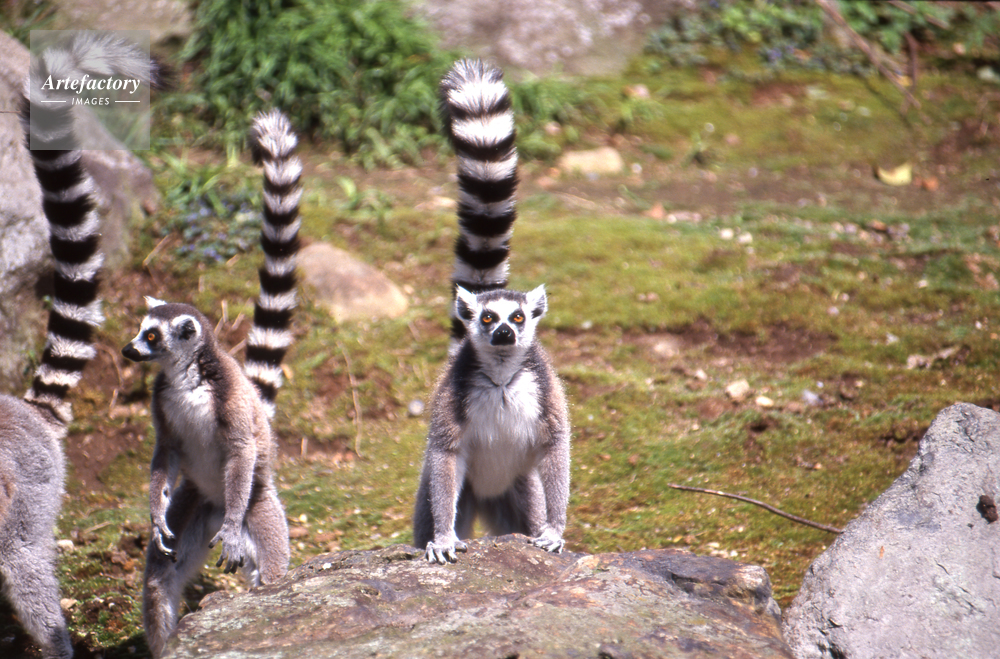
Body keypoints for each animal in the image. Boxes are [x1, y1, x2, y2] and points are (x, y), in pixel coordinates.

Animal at [120, 110, 301, 658]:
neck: (185, 379)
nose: (128, 350)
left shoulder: (232, 403)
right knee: (160, 580)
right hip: (195, 503)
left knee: (268, 552)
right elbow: (164, 453)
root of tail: (216, 506)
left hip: (255, 500)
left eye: (151, 335)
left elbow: (240, 449)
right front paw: (153, 515)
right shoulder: (161, 405)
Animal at [412, 59, 571, 564]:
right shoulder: (453, 399)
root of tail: (486, 500)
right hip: (452, 494)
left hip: (517, 491)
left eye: (516, 318)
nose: (504, 333)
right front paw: (443, 539)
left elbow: (555, 445)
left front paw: (555, 530)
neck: (501, 377)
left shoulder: (543, 389)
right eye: (488, 318)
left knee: (529, 502)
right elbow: (444, 453)